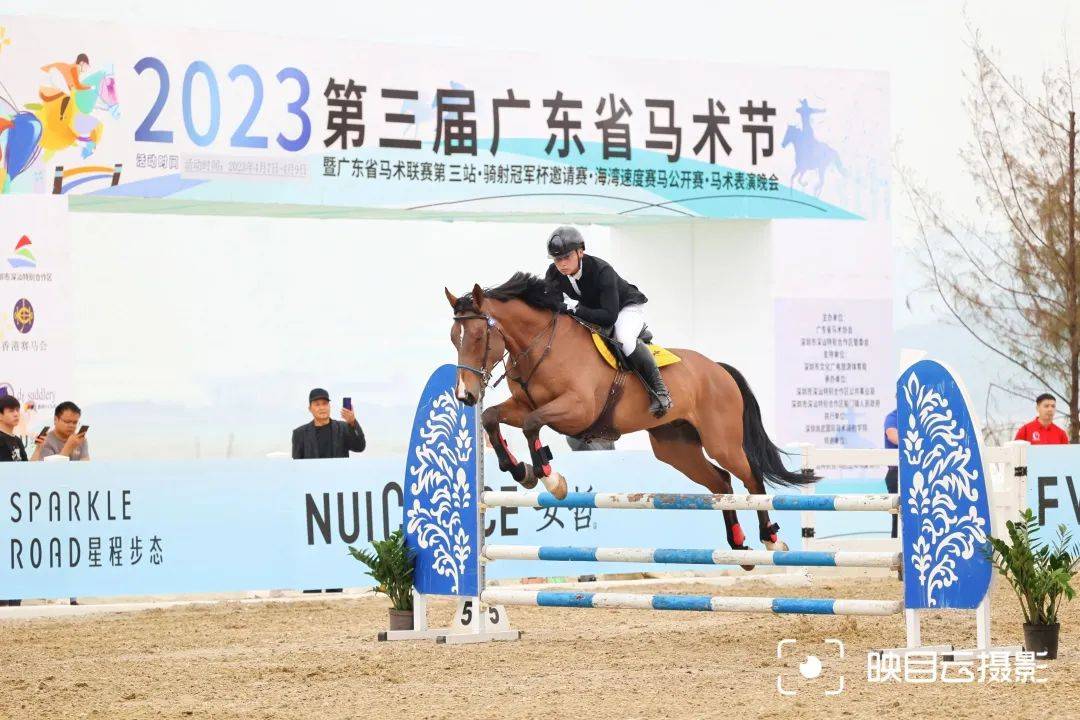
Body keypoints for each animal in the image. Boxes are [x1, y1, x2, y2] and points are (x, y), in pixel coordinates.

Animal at [446, 272, 819, 565]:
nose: (465, 395)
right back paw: (739, 546)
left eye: (478, 337)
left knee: (751, 479)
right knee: (721, 482)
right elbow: (492, 418)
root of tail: (718, 369)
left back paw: (771, 540)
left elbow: (531, 424)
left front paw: (551, 480)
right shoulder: (523, 404)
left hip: (721, 441)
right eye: (454, 338)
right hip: (675, 447)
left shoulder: (576, 409)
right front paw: (521, 472)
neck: (540, 346)